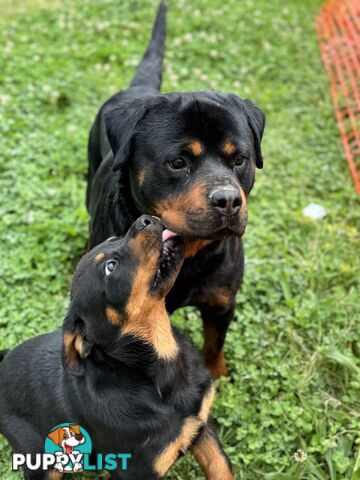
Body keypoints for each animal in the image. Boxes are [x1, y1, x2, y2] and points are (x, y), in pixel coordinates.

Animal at [0, 216, 232, 478]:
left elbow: (221, 467)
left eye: (113, 239)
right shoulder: (138, 470)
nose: (145, 219)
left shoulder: (202, 426)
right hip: (41, 460)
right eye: (110, 267)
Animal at [86, 0, 266, 378]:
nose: (228, 200)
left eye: (239, 159)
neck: (188, 254)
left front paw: (217, 376)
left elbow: (213, 347)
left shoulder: (221, 303)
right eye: (178, 162)